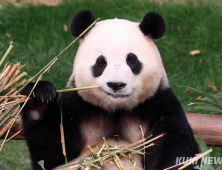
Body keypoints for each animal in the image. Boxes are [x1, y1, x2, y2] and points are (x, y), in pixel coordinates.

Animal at [21, 10, 199, 170]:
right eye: (101, 62)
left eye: (131, 60)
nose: (116, 84)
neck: (116, 110)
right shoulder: (76, 106)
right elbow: (53, 153)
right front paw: (38, 98)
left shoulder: (158, 104)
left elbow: (175, 146)